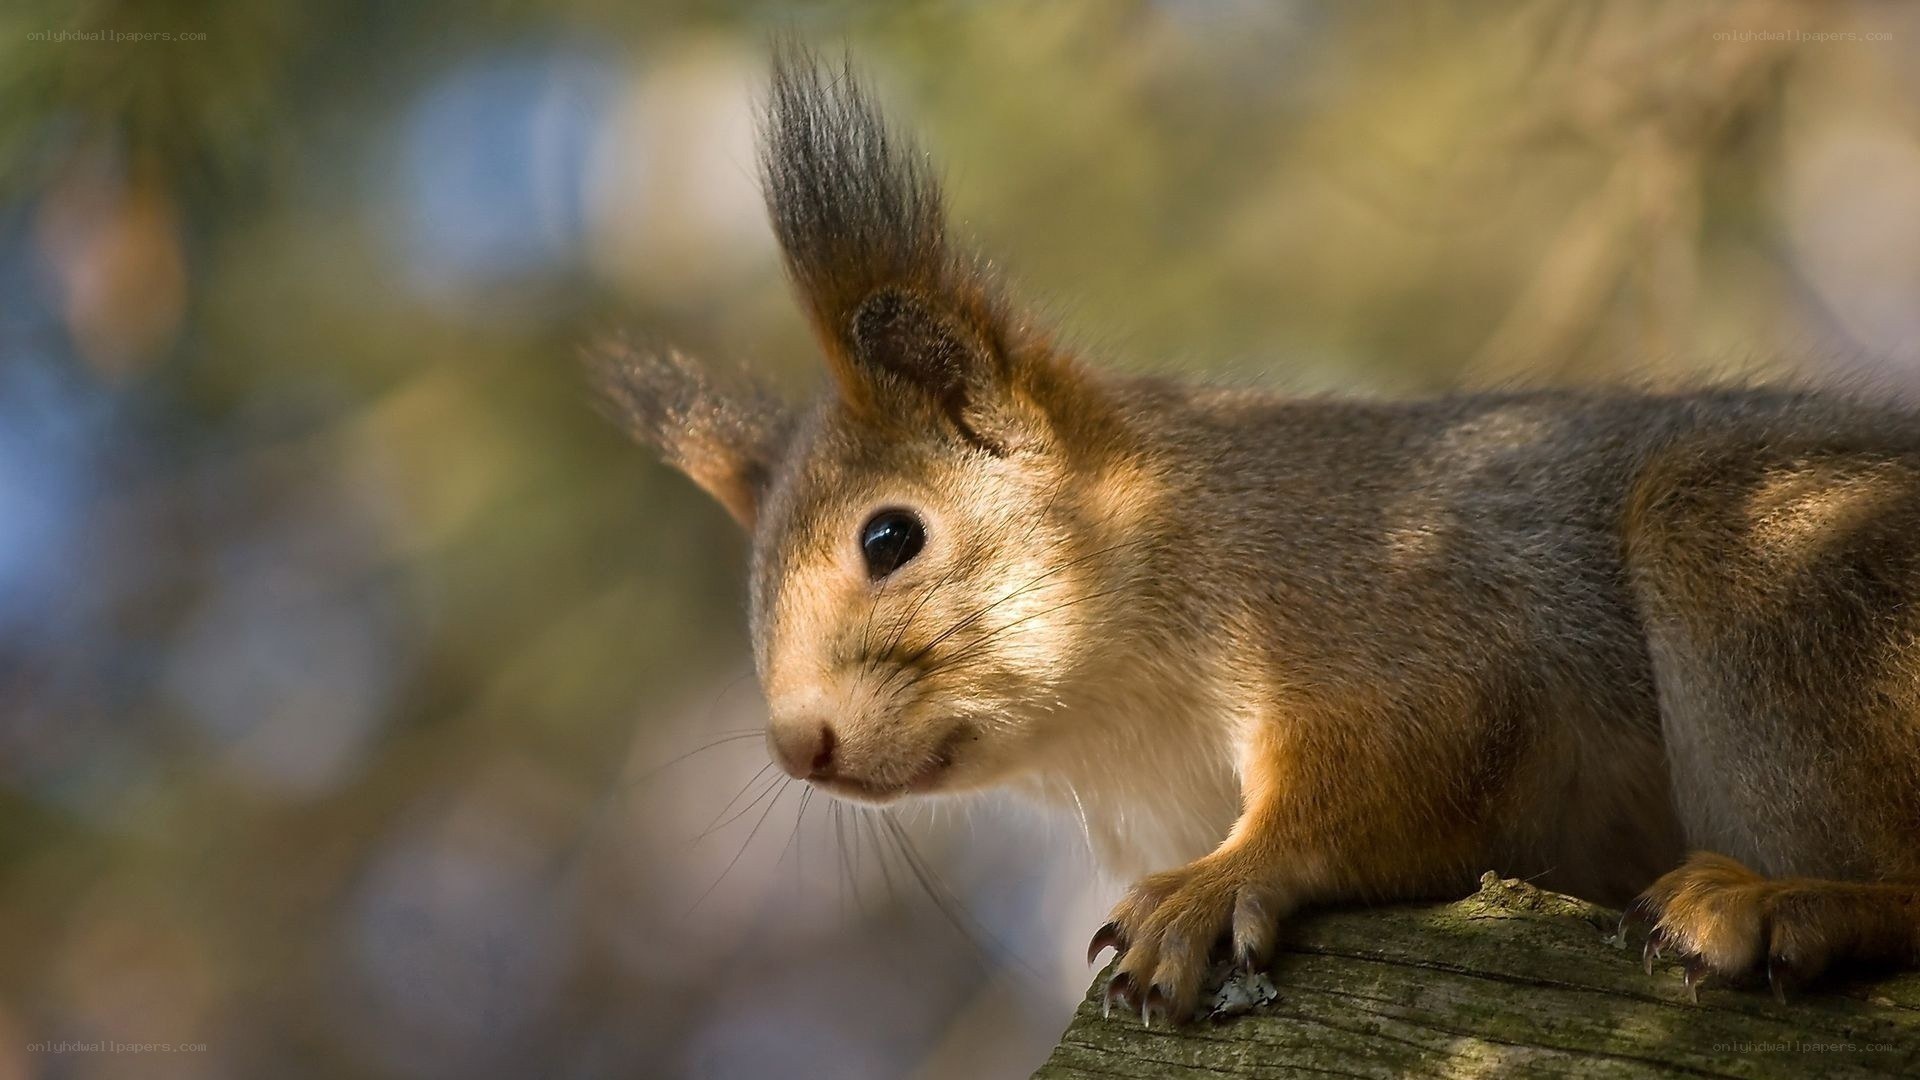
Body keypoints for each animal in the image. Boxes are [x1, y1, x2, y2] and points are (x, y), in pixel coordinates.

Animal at [596, 50, 1920, 1025]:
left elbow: (1408, 759)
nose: (798, 745)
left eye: (889, 538)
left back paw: (1784, 904)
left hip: (1769, 558)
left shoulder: (1378, 598)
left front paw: (1214, 885)